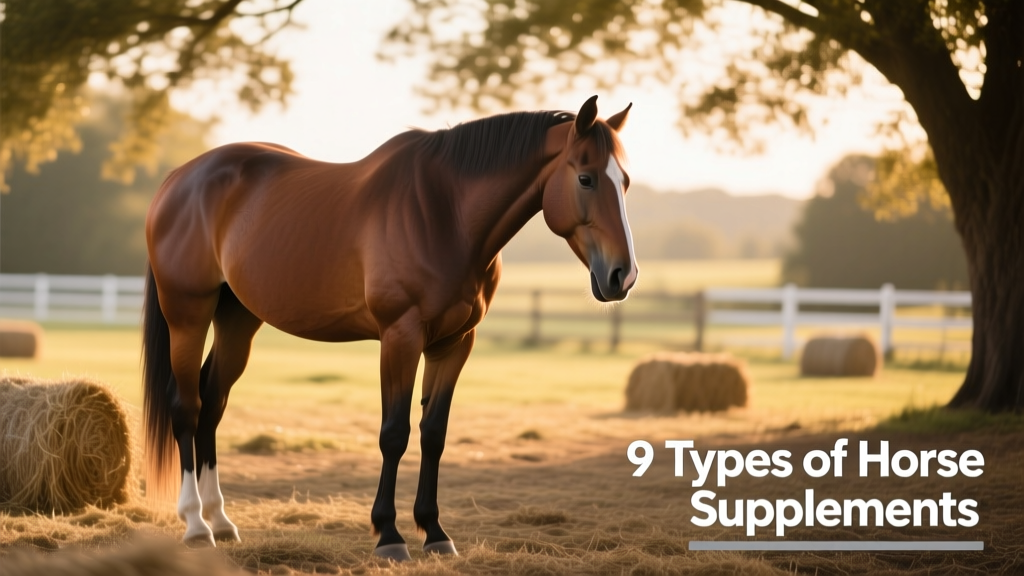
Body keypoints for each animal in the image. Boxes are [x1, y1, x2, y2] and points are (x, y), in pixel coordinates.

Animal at [142, 95, 637, 560]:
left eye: (626, 182)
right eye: (586, 178)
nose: (623, 276)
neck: (445, 215)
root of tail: (178, 179)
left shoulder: (454, 343)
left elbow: (433, 433)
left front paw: (435, 532)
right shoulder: (400, 337)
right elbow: (394, 433)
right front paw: (389, 536)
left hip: (238, 320)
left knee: (213, 403)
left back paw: (221, 521)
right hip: (188, 314)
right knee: (187, 406)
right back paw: (196, 525)